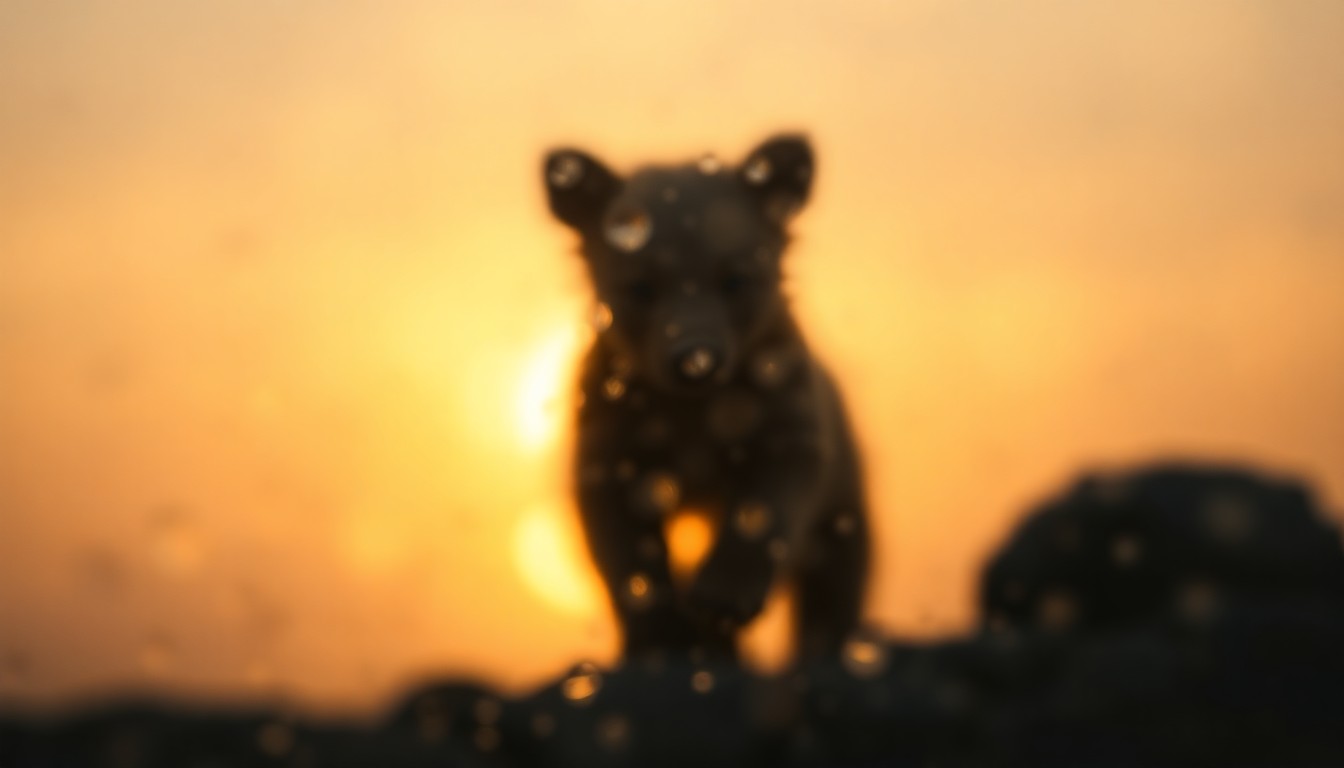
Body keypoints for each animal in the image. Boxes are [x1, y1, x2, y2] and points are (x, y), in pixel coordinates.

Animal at [541, 134, 871, 662]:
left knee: (838, 575)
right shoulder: (614, 421)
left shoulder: (779, 401)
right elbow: (619, 527)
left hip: (848, 491)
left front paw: (722, 599)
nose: (695, 359)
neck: (694, 409)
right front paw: (660, 630)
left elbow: (772, 493)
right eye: (641, 286)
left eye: (734, 278)